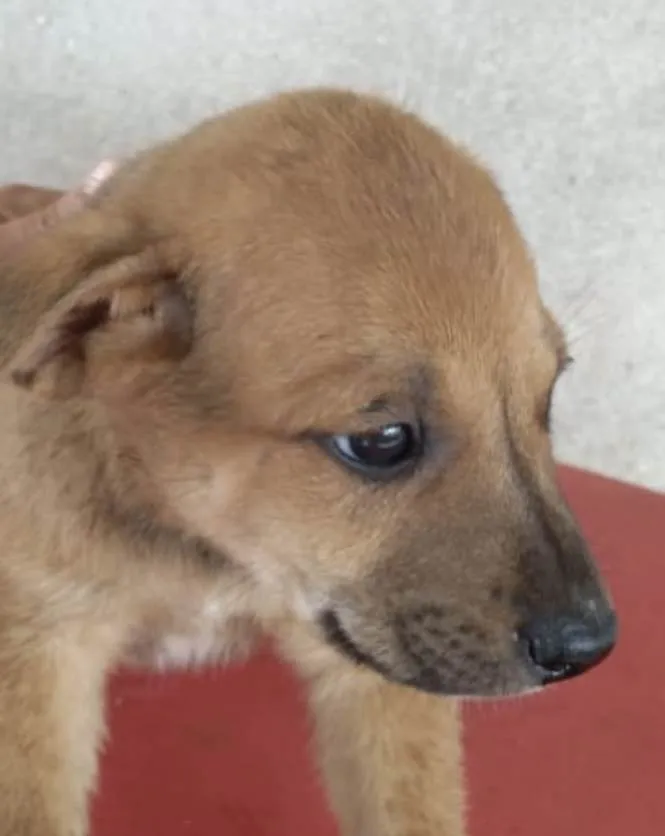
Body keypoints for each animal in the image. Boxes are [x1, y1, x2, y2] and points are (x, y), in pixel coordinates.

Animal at [0, 88, 616, 832]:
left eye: (546, 398)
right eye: (381, 440)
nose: (588, 649)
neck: (207, 552)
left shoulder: (372, 670)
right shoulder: (38, 649)